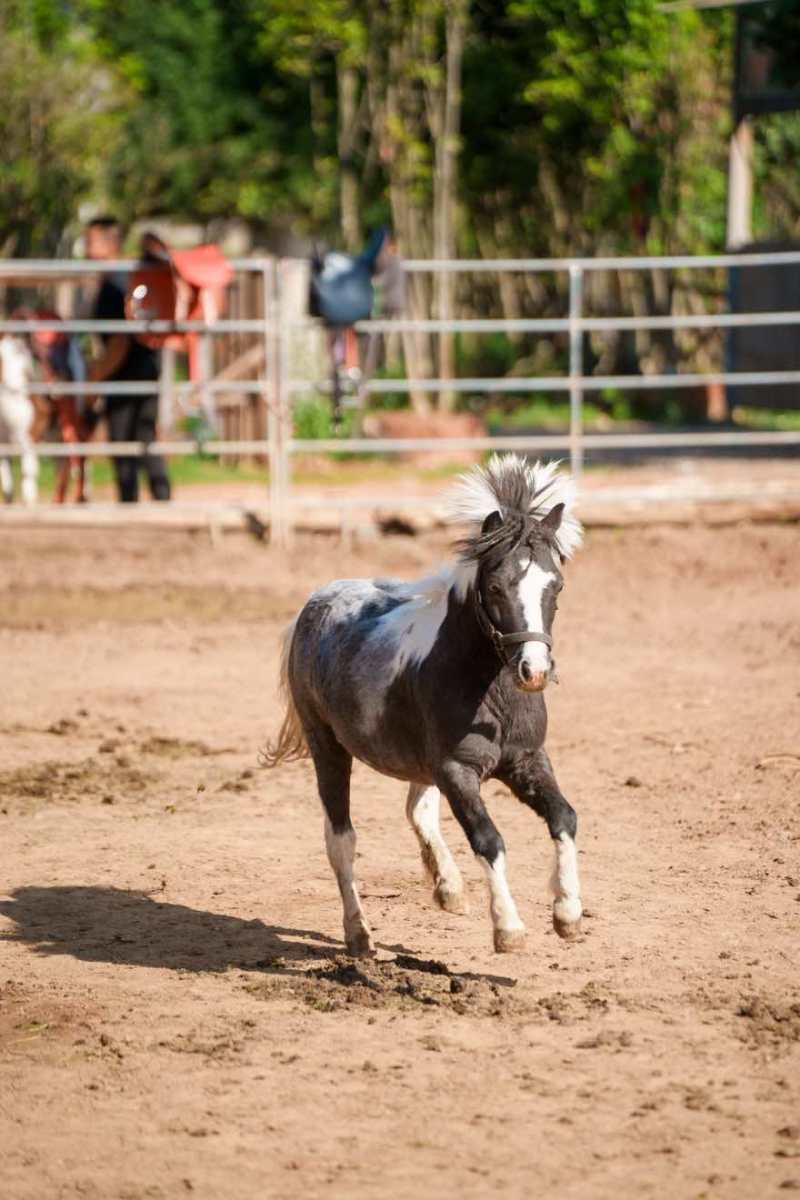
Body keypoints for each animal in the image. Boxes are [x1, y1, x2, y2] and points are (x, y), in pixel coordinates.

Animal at [262, 454, 584, 956]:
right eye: (496, 586)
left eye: (557, 585)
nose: (533, 670)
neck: (490, 691)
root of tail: (311, 608)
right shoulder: (456, 770)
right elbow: (489, 840)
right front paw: (508, 928)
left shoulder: (526, 760)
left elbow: (564, 817)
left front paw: (567, 913)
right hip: (327, 748)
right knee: (341, 839)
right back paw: (359, 934)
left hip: (418, 762)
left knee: (418, 810)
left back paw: (448, 888)